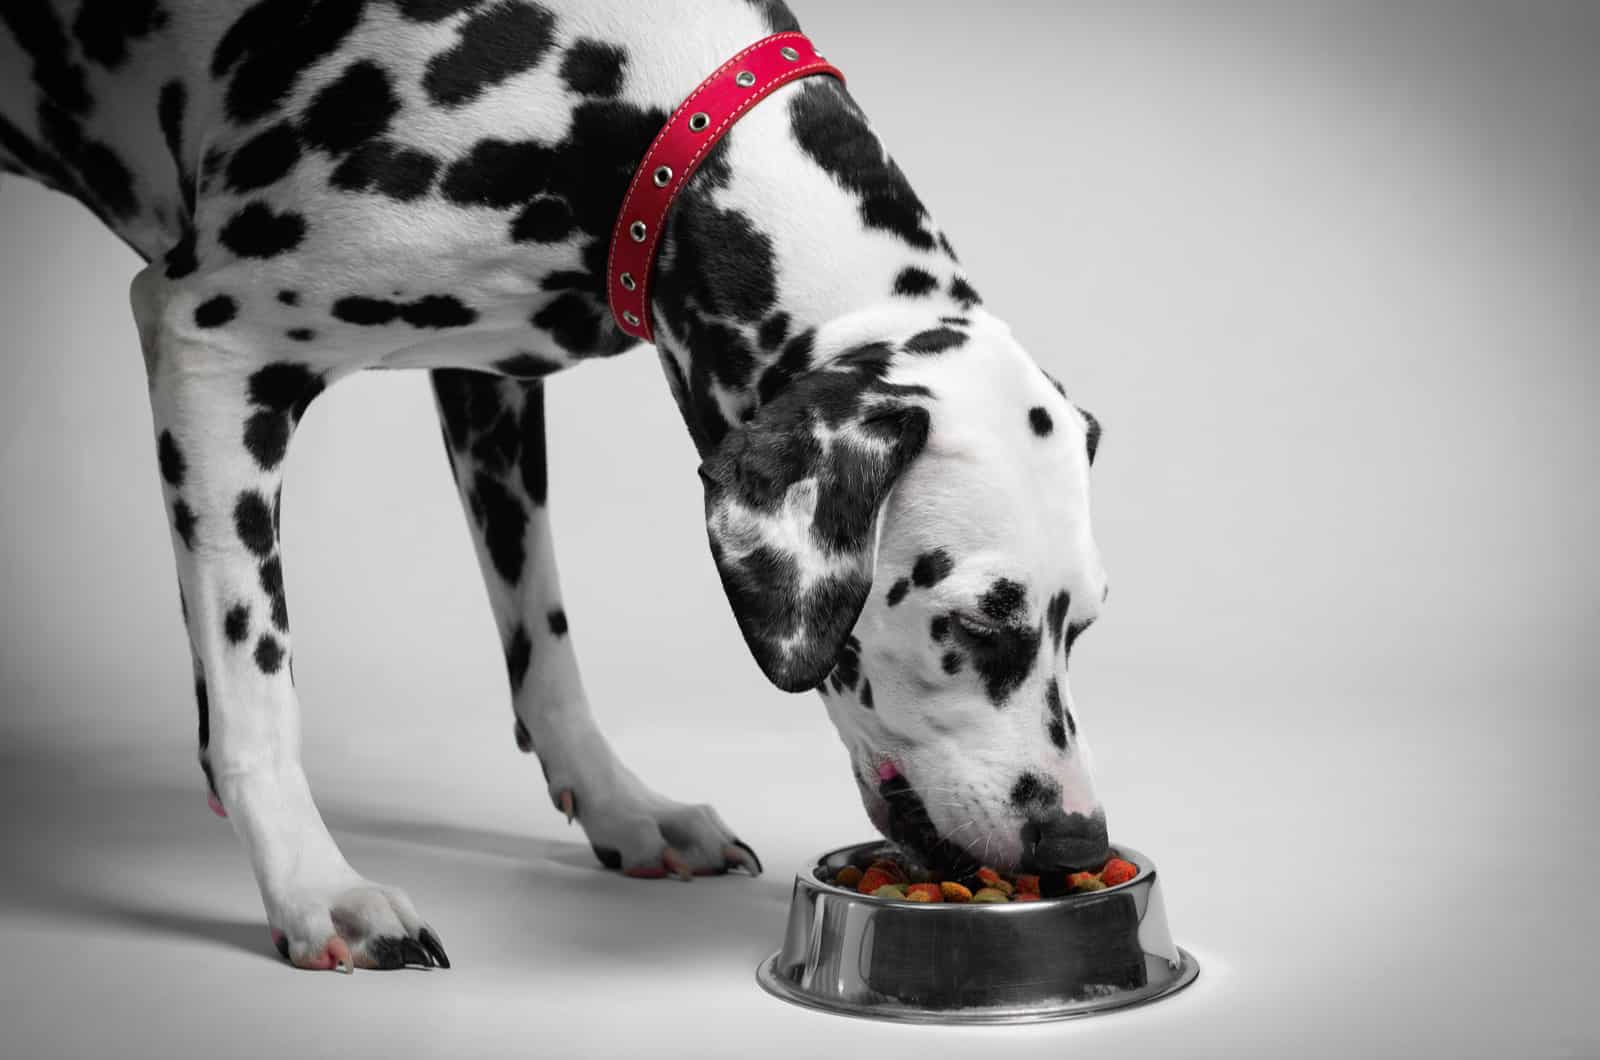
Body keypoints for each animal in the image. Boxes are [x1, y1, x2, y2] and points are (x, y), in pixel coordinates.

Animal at [3, 0, 1113, 973]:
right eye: (973, 624)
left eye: (1087, 624)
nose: (1076, 842)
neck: (641, 101)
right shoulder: (212, 348)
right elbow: (255, 683)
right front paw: (314, 888)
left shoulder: (488, 381)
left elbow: (542, 639)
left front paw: (622, 805)